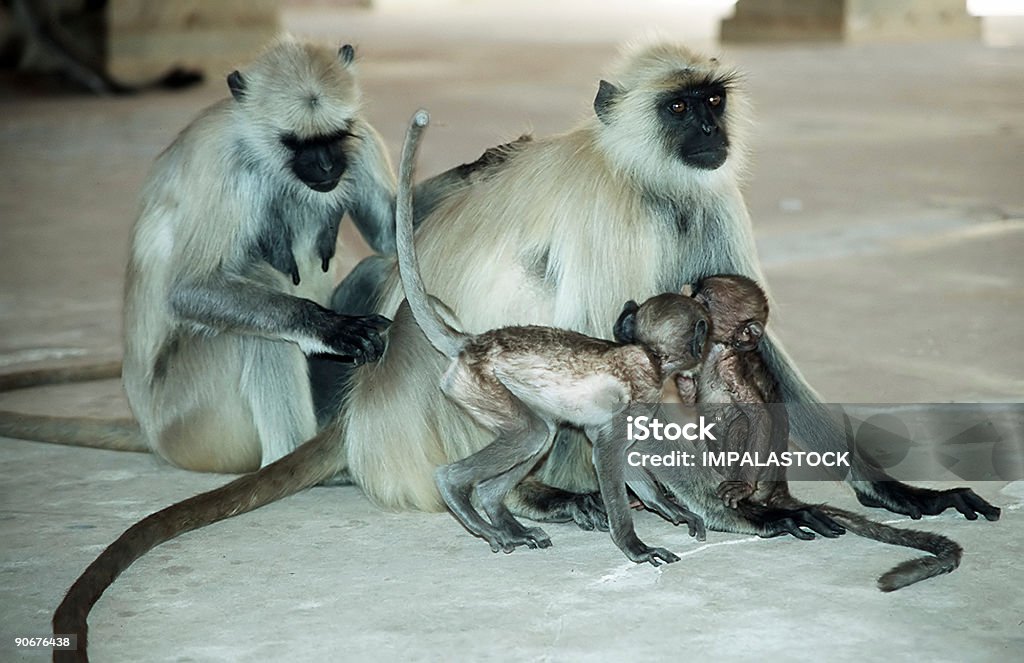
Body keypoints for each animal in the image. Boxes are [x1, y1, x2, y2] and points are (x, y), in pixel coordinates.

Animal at [333, 42, 999, 528]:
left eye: (712, 99)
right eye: (677, 109)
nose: (707, 128)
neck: (644, 177)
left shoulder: (707, 198)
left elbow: (750, 342)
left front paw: (891, 487)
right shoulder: (614, 212)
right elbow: (611, 354)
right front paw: (741, 513)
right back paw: (536, 495)